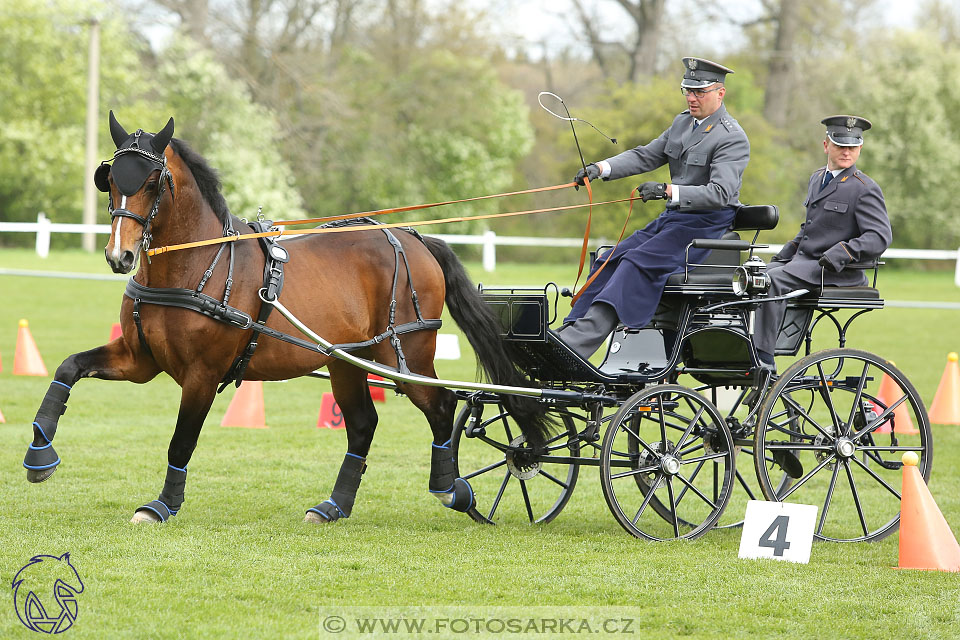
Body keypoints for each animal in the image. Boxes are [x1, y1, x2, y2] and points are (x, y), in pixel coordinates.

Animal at [24, 114, 548, 524]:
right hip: (346, 361)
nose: (120, 255)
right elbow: (68, 367)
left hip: (404, 354)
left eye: (152, 183)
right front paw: (39, 453)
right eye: (111, 180)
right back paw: (334, 506)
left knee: (440, 407)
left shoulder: (201, 374)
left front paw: (161, 505)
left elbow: (181, 441)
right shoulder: (139, 360)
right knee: (363, 424)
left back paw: (450, 489)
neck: (196, 263)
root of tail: (414, 238)